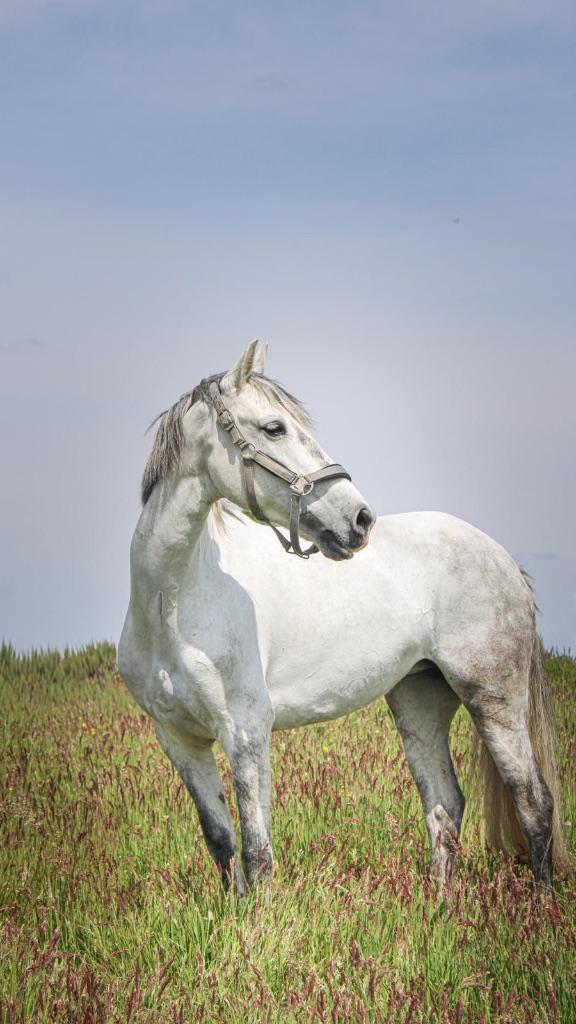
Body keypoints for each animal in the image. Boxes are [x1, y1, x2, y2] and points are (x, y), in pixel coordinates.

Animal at [118, 339, 569, 895]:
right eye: (274, 428)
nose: (360, 519)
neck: (173, 606)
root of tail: (505, 560)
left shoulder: (245, 731)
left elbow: (257, 852)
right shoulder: (181, 741)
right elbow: (222, 844)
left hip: (494, 701)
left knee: (534, 802)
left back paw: (540, 904)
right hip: (419, 699)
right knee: (445, 806)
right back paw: (441, 905)